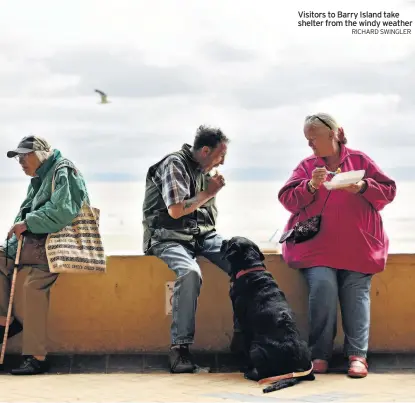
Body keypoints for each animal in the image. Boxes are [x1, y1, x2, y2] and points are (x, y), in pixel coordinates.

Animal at [221, 237, 316, 394]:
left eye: (230, 242)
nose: (223, 241)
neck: (251, 268)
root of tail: (296, 369)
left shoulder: (243, 324)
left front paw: (246, 366)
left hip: (256, 348)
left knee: (262, 373)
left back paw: (250, 373)